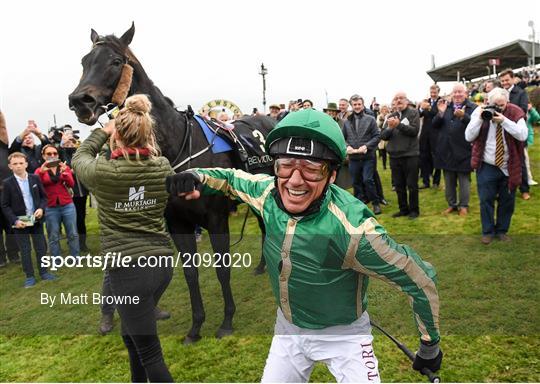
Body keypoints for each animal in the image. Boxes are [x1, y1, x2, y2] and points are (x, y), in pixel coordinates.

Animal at [68, 22, 274, 344]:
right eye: (84, 61)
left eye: (115, 61)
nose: (80, 101)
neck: (179, 144)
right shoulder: (178, 222)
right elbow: (190, 273)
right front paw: (196, 326)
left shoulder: (216, 219)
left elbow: (222, 269)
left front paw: (226, 321)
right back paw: (263, 265)